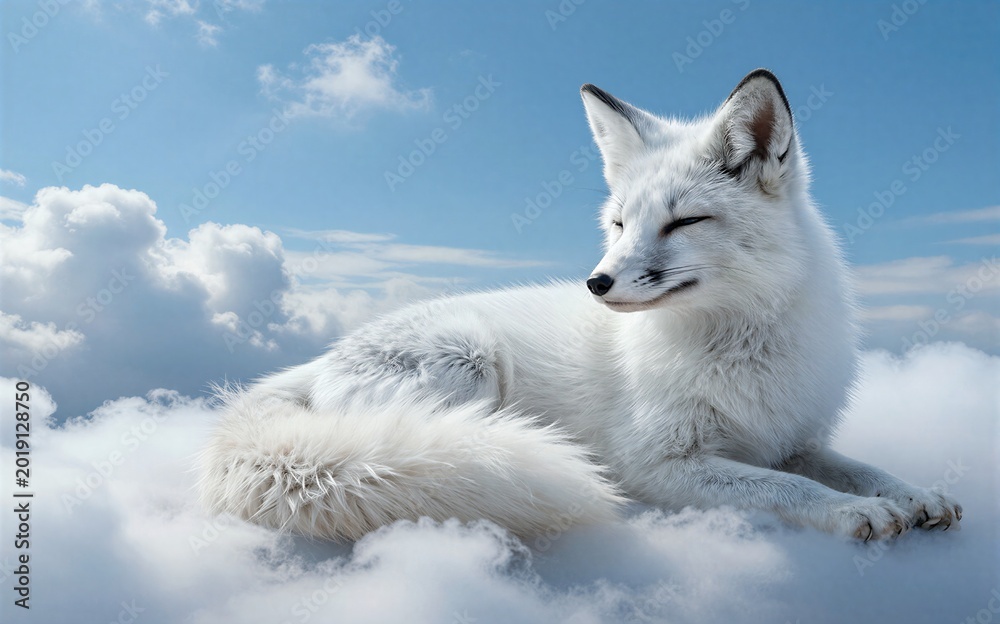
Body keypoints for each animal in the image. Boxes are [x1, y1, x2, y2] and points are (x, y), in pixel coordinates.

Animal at [199, 69, 961, 543]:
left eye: (683, 222)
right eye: (619, 223)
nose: (596, 283)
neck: (741, 350)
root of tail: (316, 365)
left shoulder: (795, 439)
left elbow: (855, 466)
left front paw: (912, 493)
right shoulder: (658, 464)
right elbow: (787, 491)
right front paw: (854, 512)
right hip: (465, 364)